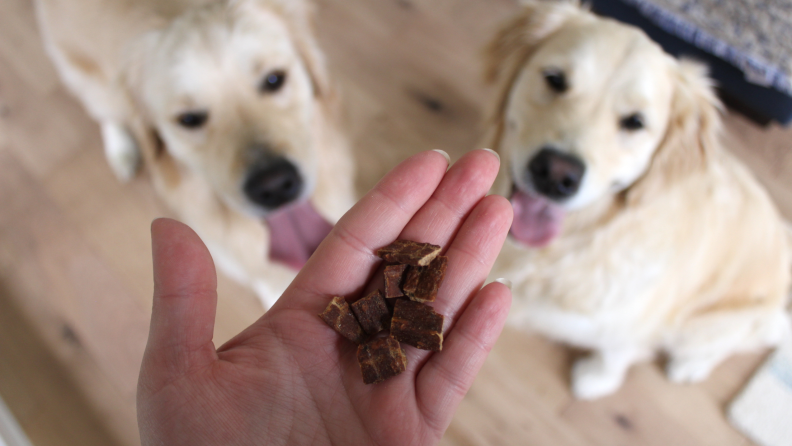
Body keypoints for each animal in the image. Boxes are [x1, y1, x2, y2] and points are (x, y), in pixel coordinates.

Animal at [36, 0, 352, 308]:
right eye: (189, 119)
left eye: (274, 79)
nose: (274, 186)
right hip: (88, 79)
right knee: (106, 112)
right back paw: (121, 150)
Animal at [482, 0, 792, 400]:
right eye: (555, 79)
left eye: (634, 122)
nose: (555, 174)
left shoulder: (635, 325)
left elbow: (616, 353)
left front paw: (595, 379)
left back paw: (690, 366)